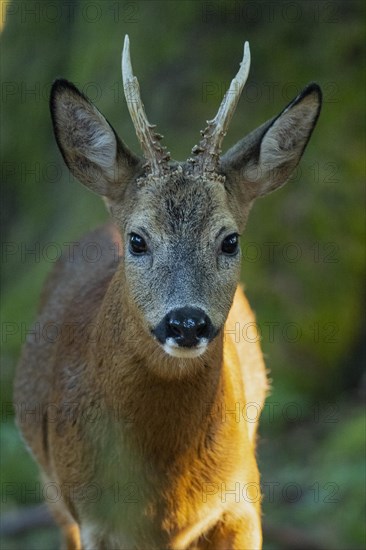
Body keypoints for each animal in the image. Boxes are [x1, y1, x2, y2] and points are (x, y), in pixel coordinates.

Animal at [13, 36, 320, 548]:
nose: (186, 322)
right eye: (138, 240)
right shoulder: (92, 520)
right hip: (56, 499)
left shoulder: (243, 503)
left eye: (230, 240)